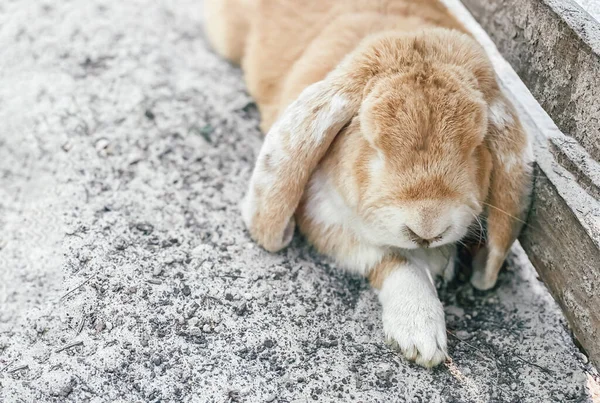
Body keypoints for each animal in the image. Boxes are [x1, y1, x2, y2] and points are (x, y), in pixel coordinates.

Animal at [204, 0, 532, 368]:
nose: (427, 228)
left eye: (475, 147)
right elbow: (395, 259)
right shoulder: (321, 217)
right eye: (373, 145)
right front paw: (421, 335)